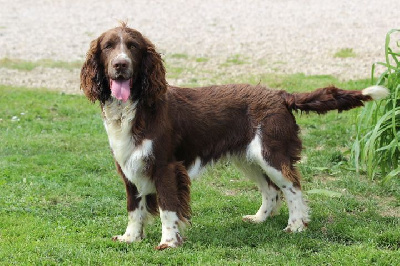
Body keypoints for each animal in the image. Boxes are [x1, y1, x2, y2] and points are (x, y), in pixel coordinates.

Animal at [79, 23, 390, 249]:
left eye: (133, 47)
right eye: (108, 47)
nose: (120, 65)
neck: (136, 108)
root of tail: (281, 94)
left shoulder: (166, 166)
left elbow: (168, 207)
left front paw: (168, 242)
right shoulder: (127, 166)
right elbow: (134, 208)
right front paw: (130, 238)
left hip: (271, 154)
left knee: (292, 187)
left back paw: (297, 225)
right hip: (249, 158)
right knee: (271, 190)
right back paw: (259, 219)